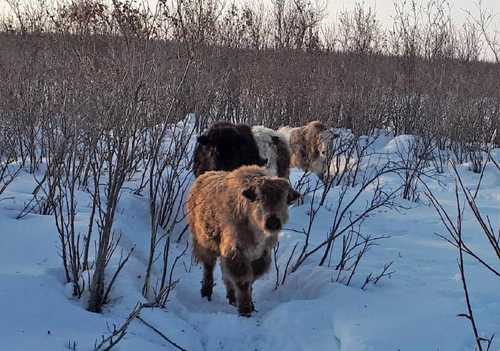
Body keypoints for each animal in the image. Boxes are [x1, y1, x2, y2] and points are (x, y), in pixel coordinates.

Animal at [186, 165, 298, 316]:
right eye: (259, 198)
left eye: (284, 199)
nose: (272, 221)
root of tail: (203, 177)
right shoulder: (236, 252)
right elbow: (243, 280)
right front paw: (245, 310)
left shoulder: (262, 254)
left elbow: (251, 279)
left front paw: (249, 305)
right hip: (205, 244)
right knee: (209, 268)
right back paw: (206, 293)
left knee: (225, 274)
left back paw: (232, 298)